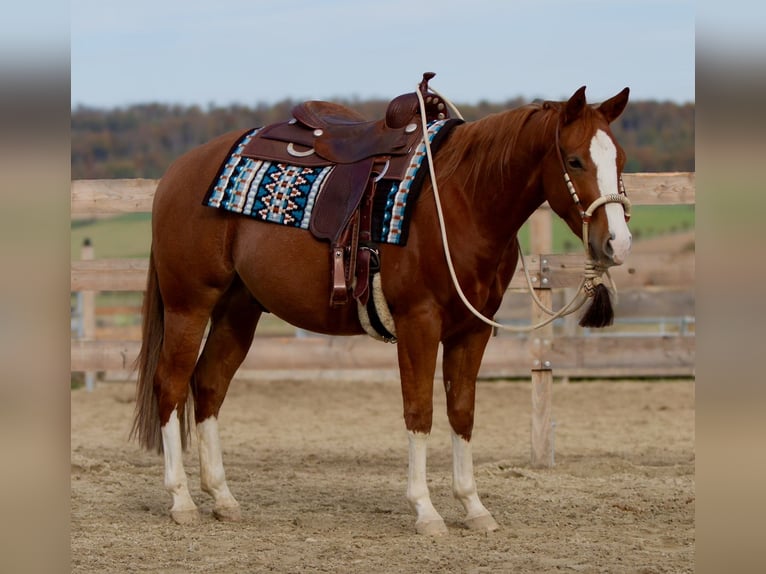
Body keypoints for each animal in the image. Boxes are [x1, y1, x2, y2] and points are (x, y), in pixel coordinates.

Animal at [131, 80, 631, 535]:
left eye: (620, 160)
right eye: (574, 160)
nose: (617, 243)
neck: (463, 199)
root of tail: (178, 171)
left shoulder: (472, 330)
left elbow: (462, 413)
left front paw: (473, 507)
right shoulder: (418, 324)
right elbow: (420, 412)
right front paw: (426, 511)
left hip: (239, 311)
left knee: (209, 386)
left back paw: (222, 497)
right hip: (189, 305)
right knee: (170, 385)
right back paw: (181, 500)